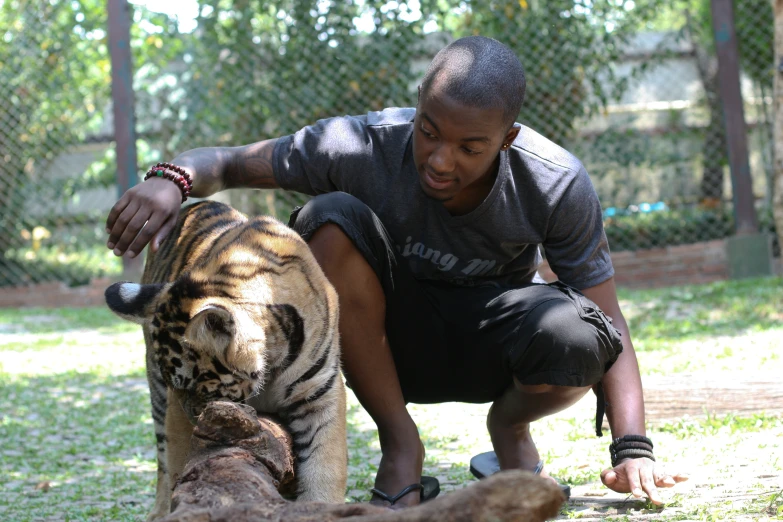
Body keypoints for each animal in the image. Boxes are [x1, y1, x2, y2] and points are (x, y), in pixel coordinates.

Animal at [103, 198, 346, 516]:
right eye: (175, 385)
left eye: (195, 385)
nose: (194, 418)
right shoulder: (173, 411)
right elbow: (177, 464)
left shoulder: (319, 395)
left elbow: (325, 469)